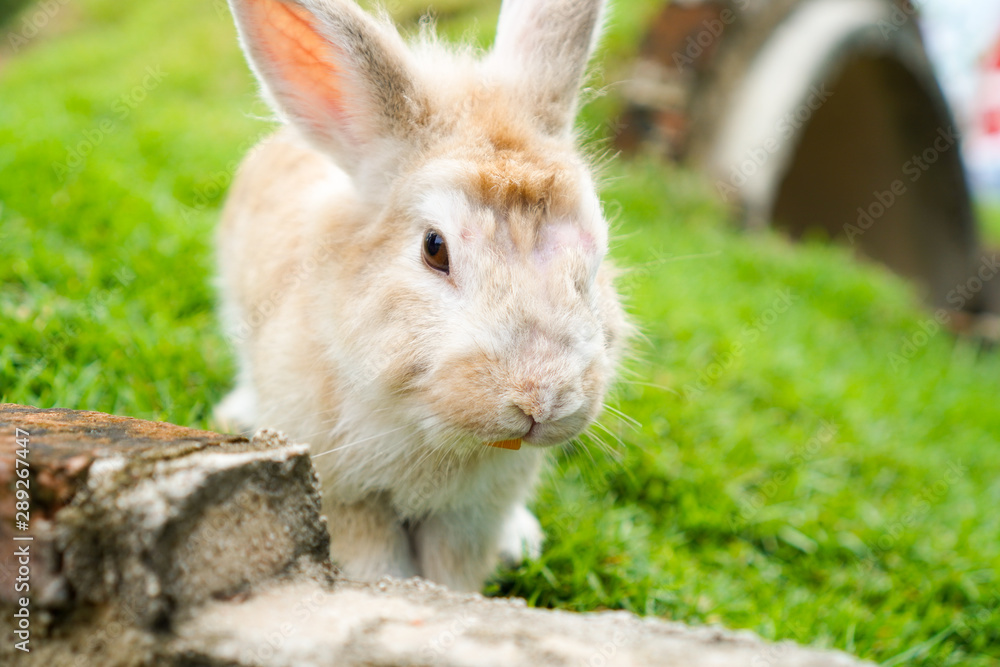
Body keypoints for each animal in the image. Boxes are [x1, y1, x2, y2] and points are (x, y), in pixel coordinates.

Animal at [215, 0, 628, 592]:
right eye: (435, 248)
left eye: (596, 257)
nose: (541, 400)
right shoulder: (348, 497)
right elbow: (377, 564)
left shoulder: (469, 516)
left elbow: (451, 571)